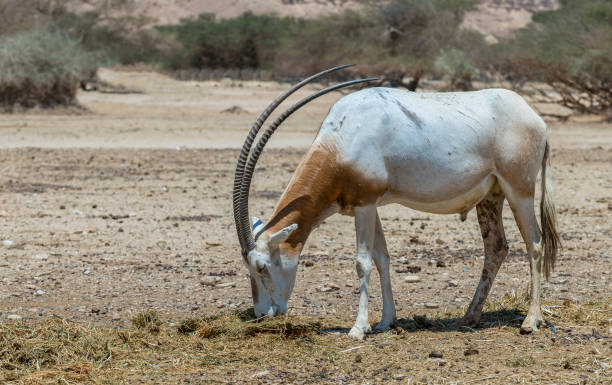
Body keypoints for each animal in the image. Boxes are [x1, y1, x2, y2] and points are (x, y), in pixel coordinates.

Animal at [234, 66, 560, 340]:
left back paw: (530, 321)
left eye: (261, 266)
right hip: (491, 197)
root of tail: (537, 120)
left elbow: (362, 262)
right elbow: (382, 258)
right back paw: (470, 316)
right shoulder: (368, 204)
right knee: (496, 248)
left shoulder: (364, 205)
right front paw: (384, 321)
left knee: (534, 243)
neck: (342, 137)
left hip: (519, 190)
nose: (262, 314)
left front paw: (358, 328)